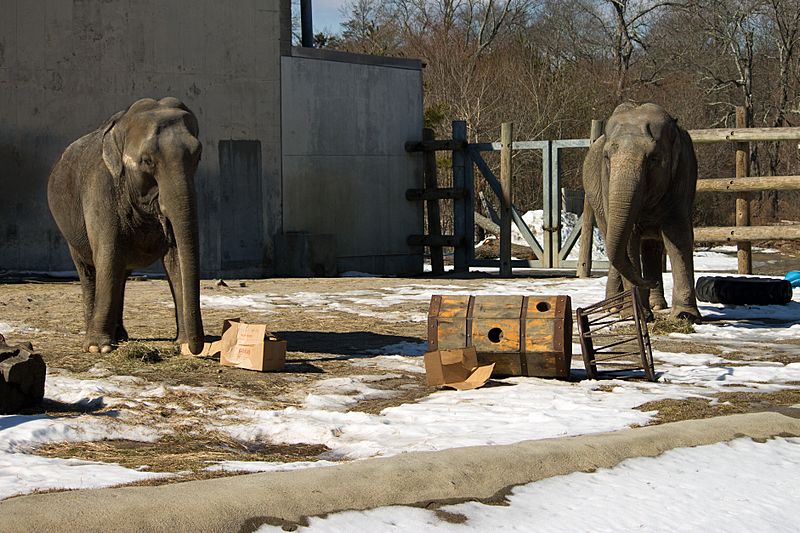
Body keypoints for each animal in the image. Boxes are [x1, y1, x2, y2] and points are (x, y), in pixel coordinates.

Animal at [48, 97, 205, 354]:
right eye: (147, 161)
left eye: (198, 156)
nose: (195, 346)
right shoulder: (100, 188)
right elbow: (108, 254)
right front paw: (99, 348)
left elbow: (176, 259)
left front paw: (182, 345)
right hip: (70, 233)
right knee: (90, 270)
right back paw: (100, 336)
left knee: (121, 272)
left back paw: (120, 336)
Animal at [582, 102, 701, 321]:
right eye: (607, 157)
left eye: (653, 159)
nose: (650, 282)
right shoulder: (606, 182)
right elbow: (629, 239)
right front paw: (636, 314)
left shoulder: (683, 173)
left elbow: (678, 236)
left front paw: (685, 316)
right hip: (596, 199)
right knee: (614, 239)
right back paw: (613, 309)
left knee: (651, 246)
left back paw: (655, 304)